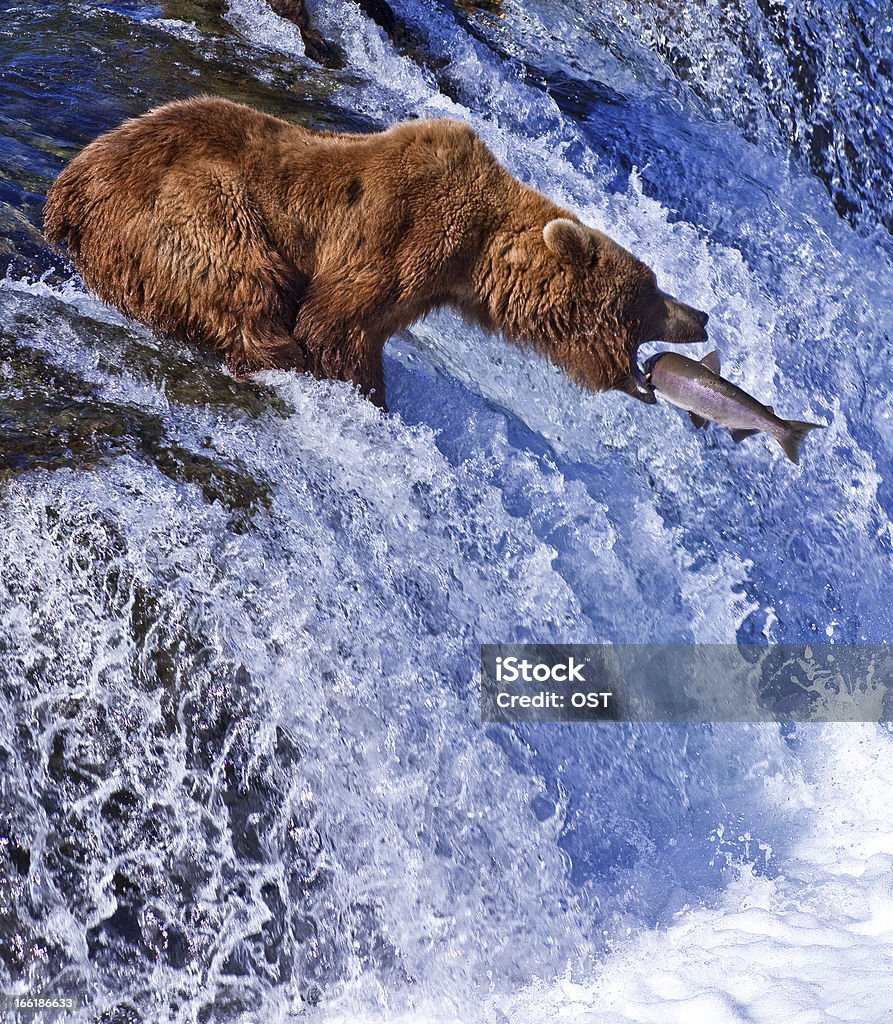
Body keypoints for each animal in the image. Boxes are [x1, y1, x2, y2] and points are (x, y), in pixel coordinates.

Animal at [45, 98, 708, 407]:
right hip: (189, 205)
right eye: (649, 290)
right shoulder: (404, 234)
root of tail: (68, 189)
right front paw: (363, 392)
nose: (700, 315)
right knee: (240, 279)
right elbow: (336, 324)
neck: (475, 258)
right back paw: (271, 350)